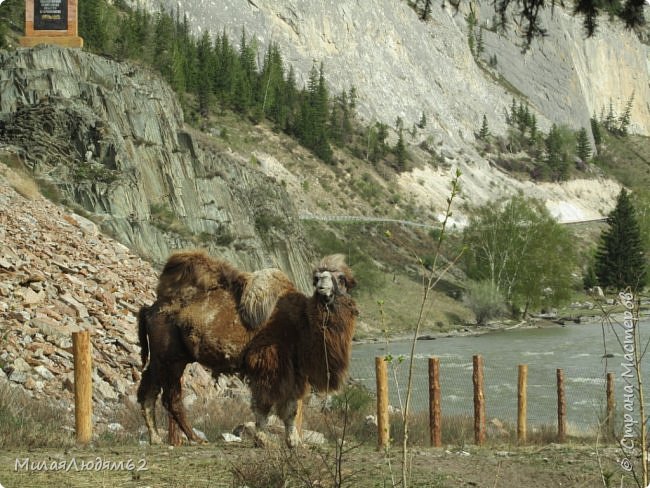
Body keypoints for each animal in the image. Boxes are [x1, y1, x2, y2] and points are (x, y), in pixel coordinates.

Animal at [137, 252, 356, 446]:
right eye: (317, 278)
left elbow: (291, 407)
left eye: (341, 278)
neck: (301, 322)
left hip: (160, 358)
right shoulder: (267, 363)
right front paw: (263, 440)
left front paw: (294, 442)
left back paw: (155, 438)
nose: (322, 288)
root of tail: (150, 309)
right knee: (170, 398)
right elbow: (264, 404)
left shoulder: (295, 371)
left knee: (149, 391)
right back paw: (195, 439)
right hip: (171, 358)